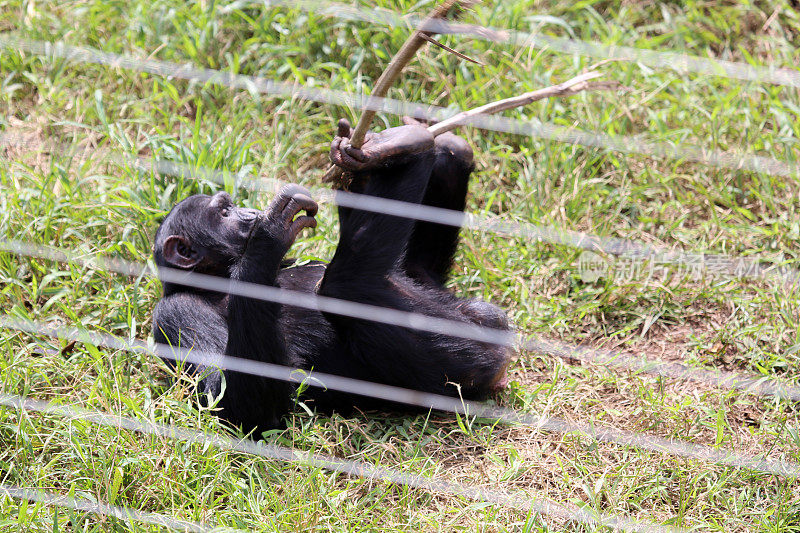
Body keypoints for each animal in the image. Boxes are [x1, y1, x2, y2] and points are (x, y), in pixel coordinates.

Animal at [151, 117, 512, 432]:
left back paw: (405, 147)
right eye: (225, 212)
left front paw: (359, 159)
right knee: (344, 287)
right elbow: (234, 405)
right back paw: (411, 144)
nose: (249, 211)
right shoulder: (177, 312)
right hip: (456, 369)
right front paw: (269, 234)